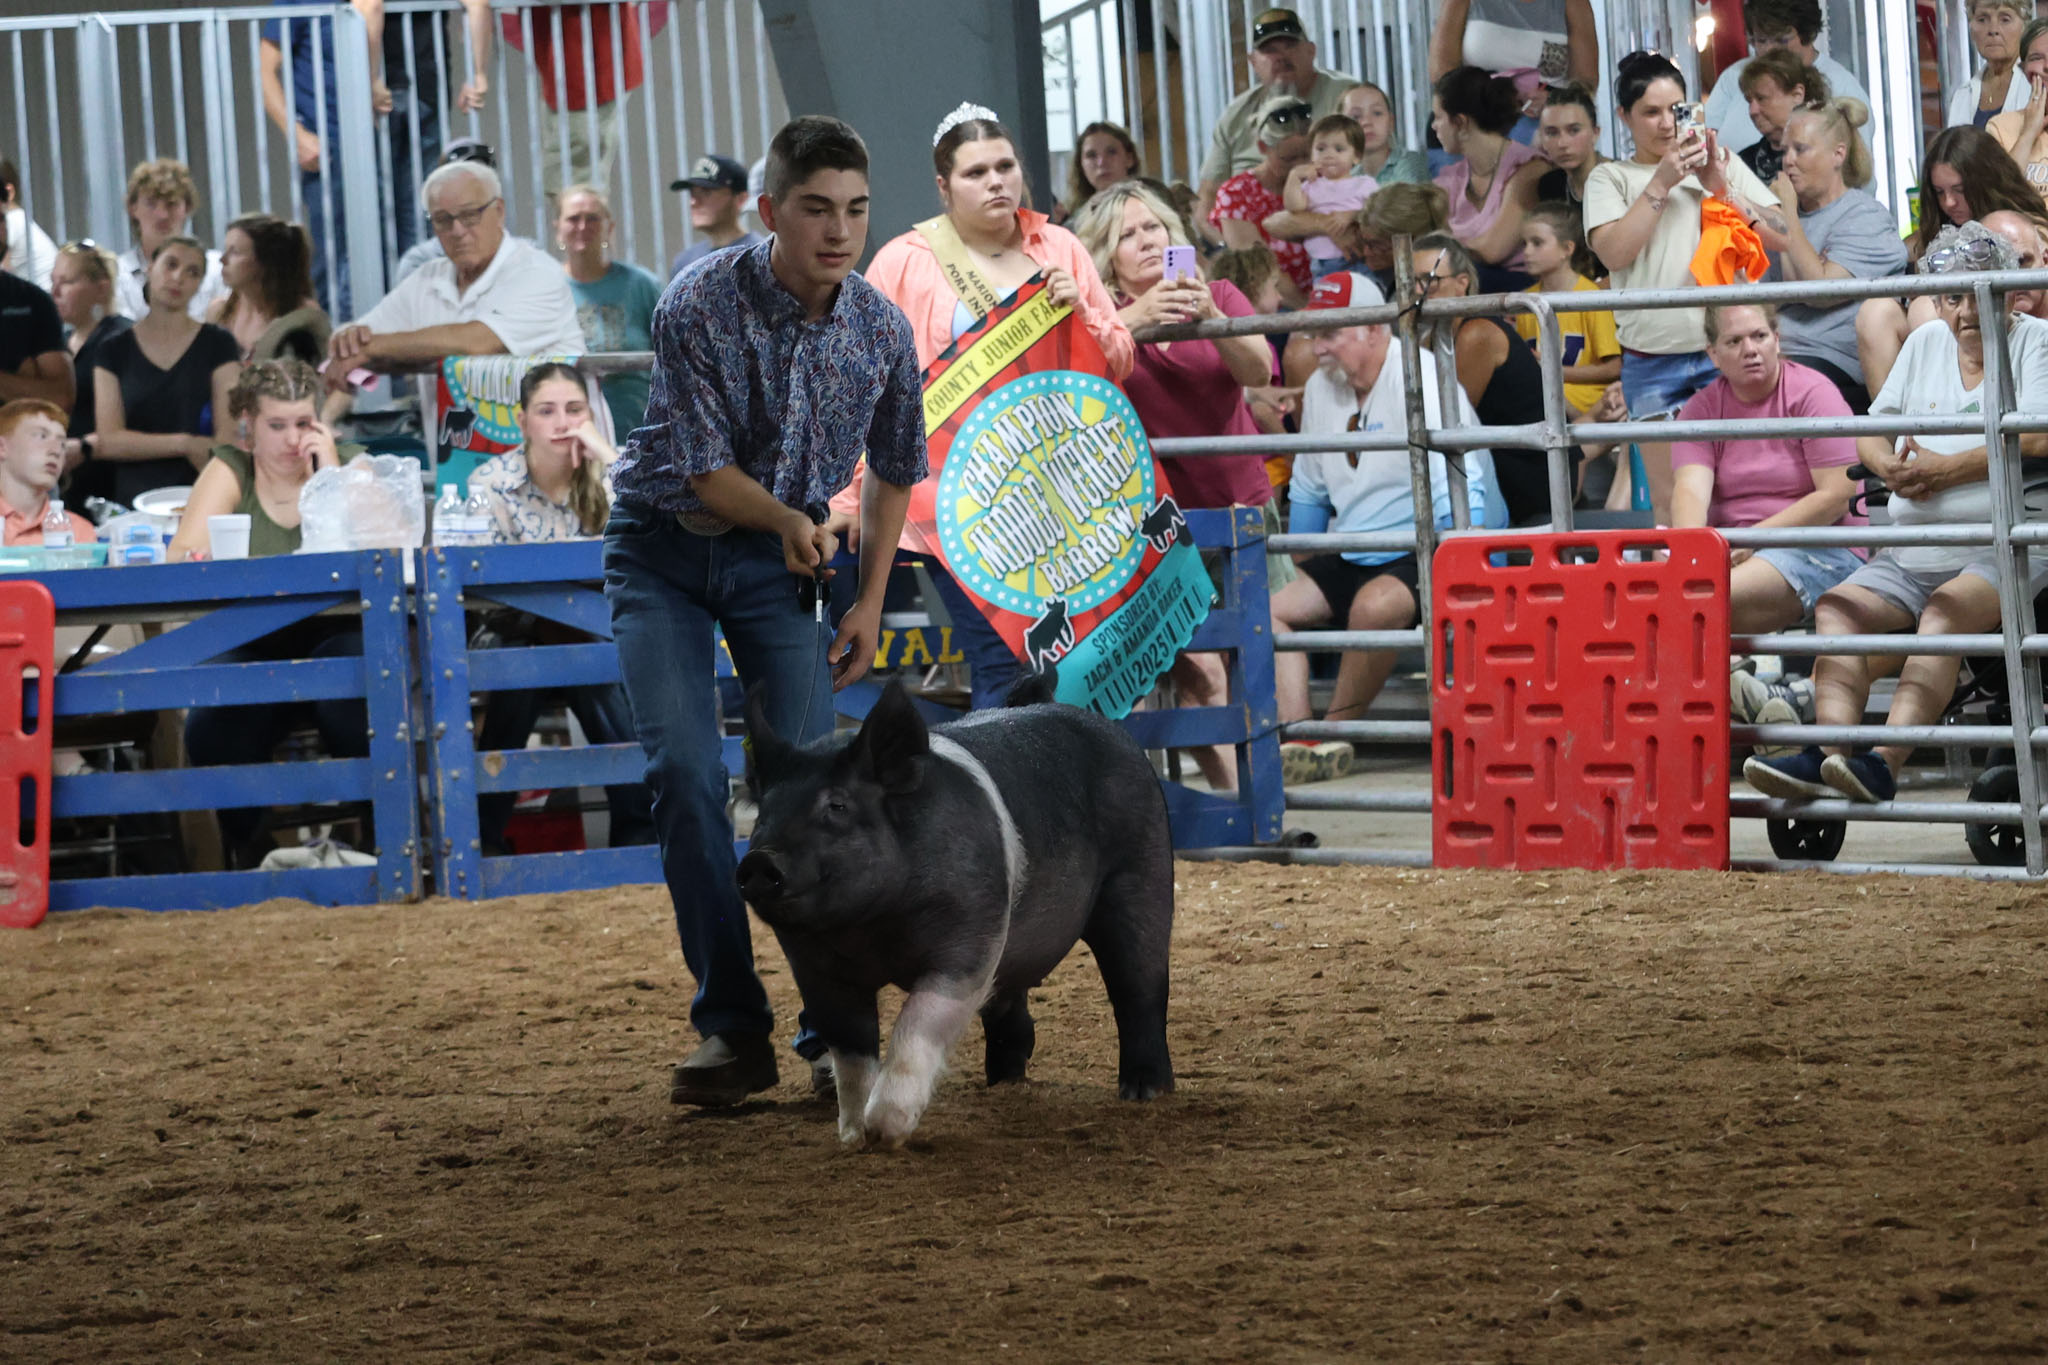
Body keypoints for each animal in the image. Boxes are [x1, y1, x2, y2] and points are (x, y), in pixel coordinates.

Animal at [737, 679, 1175, 1147]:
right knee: (1010, 1003)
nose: (758, 860)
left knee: (1139, 986)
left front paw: (885, 1129)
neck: (869, 927)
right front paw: (854, 1136)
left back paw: (1144, 1091)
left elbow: (917, 1021)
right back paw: (1004, 1081)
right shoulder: (818, 970)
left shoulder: (969, 935)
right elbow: (852, 1052)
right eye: (763, 814)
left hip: (1141, 872)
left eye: (837, 806)